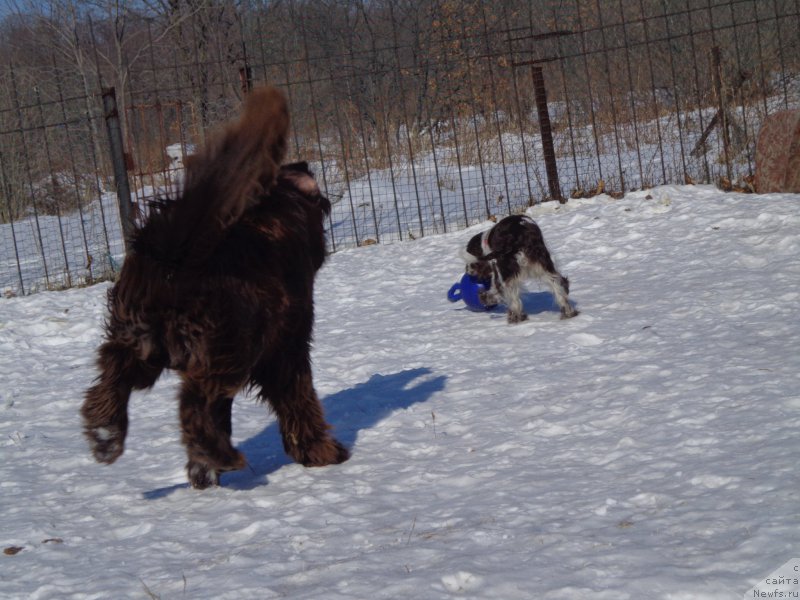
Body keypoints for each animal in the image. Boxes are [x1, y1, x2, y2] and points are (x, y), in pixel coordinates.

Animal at [81, 90, 350, 492]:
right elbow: (299, 402)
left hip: (140, 341)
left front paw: (202, 472)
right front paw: (320, 451)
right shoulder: (287, 348)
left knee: (115, 370)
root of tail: (174, 258)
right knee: (194, 402)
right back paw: (221, 454)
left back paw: (106, 432)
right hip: (226, 349)